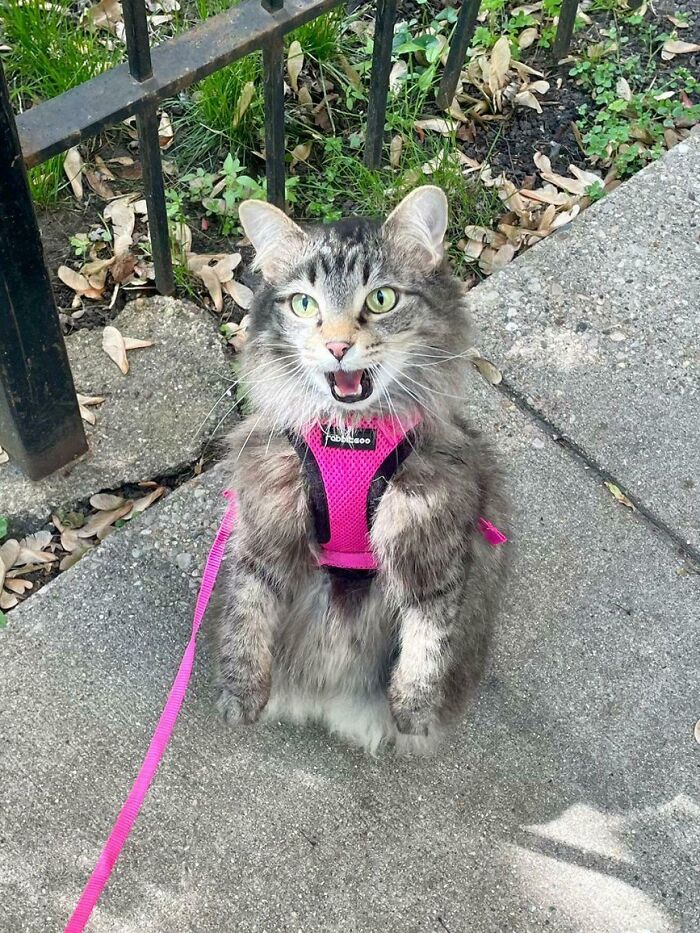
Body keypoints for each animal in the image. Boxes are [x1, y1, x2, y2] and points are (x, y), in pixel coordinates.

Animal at [213, 186, 508, 752]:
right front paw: (242, 699)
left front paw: (412, 716)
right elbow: (246, 620)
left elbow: (428, 642)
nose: (337, 347)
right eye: (304, 304)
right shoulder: (263, 523)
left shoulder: (434, 537)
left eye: (381, 299)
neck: (350, 437)